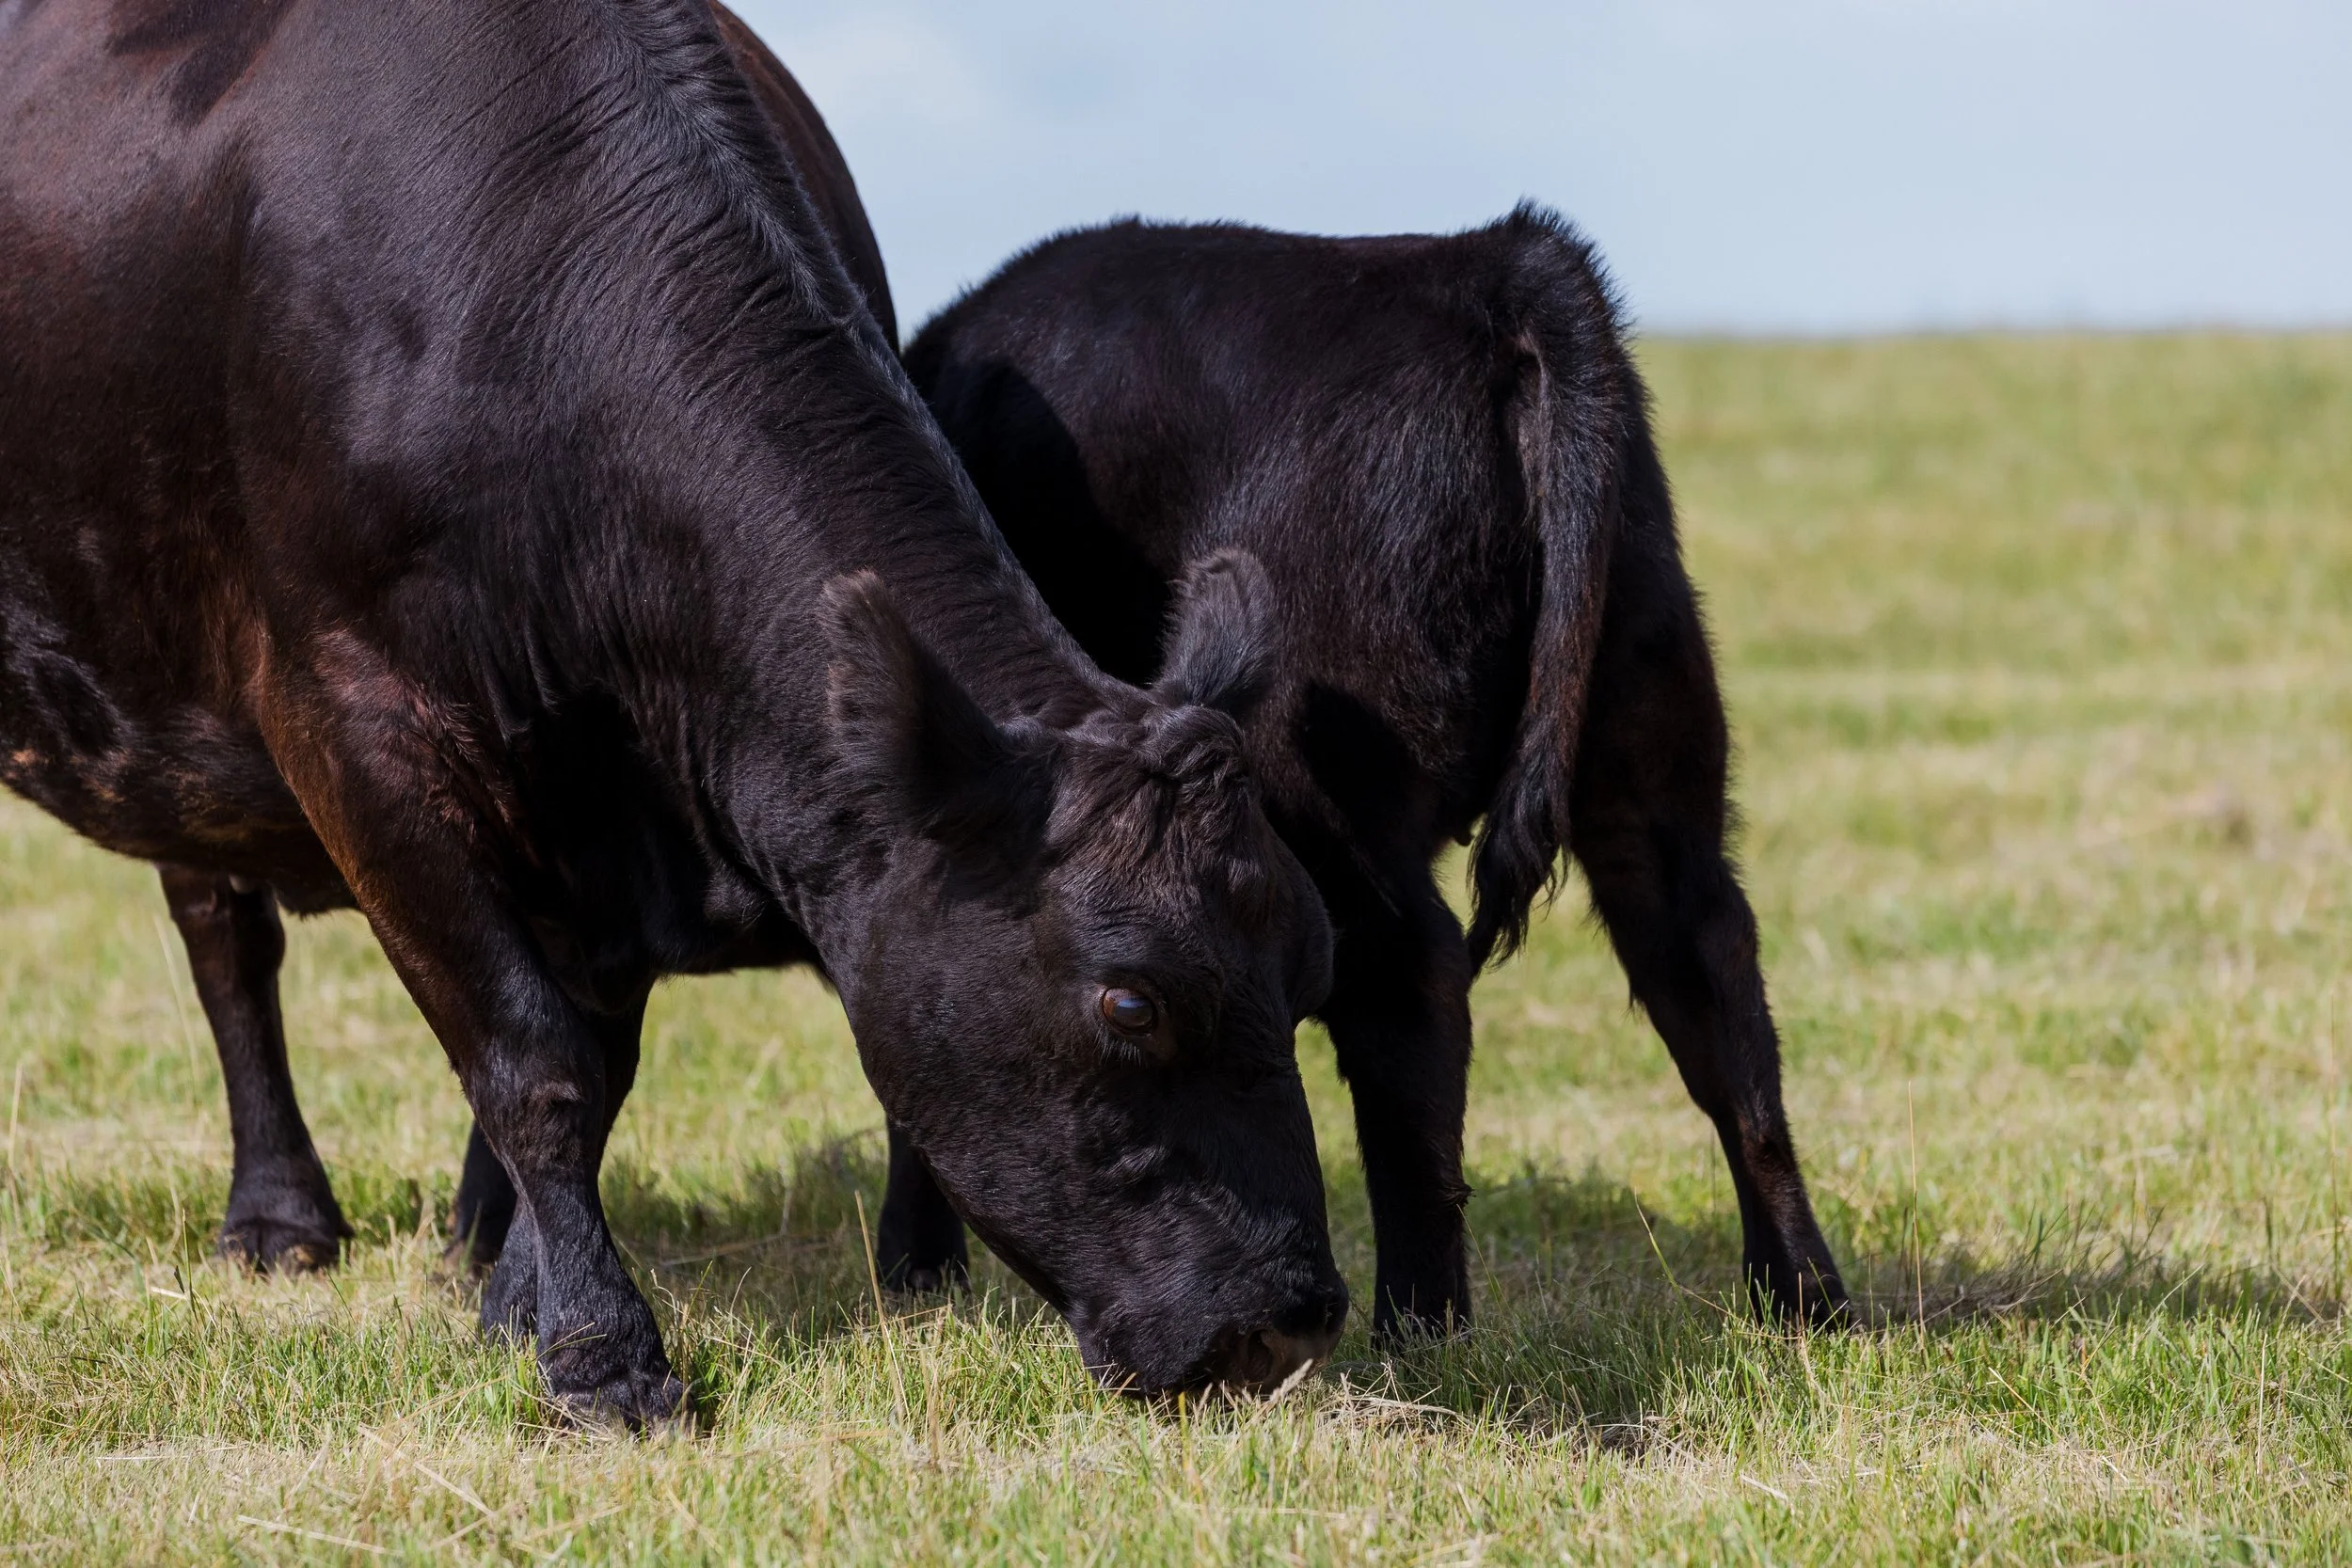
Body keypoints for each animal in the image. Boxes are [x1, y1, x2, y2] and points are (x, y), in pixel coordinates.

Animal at [0, 0, 1349, 1427]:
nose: (1291, 1316)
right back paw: (279, 1217)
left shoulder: (619, 789)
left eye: (1313, 963)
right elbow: (535, 1061)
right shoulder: (344, 717)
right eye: (1130, 1002)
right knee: (227, 937)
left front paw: (517, 1304)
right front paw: (604, 1356)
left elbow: (595, 1062)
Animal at [891, 211, 1851, 1335]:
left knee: (1409, 983)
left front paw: (914, 1271)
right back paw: (1803, 1297)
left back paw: (1418, 1323)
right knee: (1712, 986)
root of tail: (1494, 262)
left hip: (1321, 783)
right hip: (1649, 746)